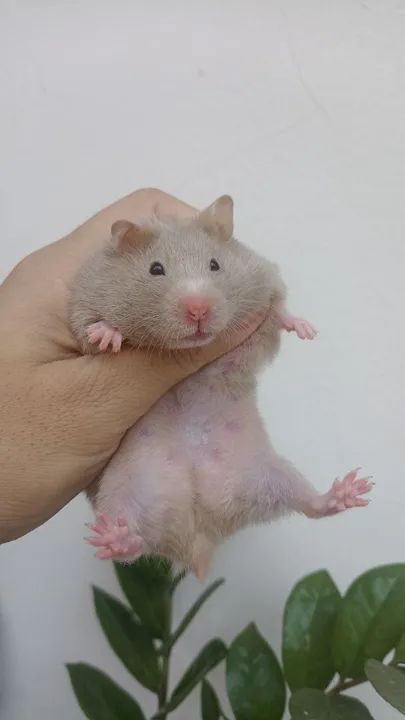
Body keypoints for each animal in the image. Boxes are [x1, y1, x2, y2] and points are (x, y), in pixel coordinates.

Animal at [69, 195, 372, 579]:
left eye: (215, 264)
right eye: (156, 269)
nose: (198, 309)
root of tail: (200, 534)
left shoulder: (265, 282)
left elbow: (277, 311)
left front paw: (305, 330)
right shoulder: (82, 303)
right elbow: (90, 331)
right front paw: (107, 334)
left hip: (271, 474)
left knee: (310, 504)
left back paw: (349, 491)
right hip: (120, 492)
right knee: (135, 545)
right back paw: (115, 539)